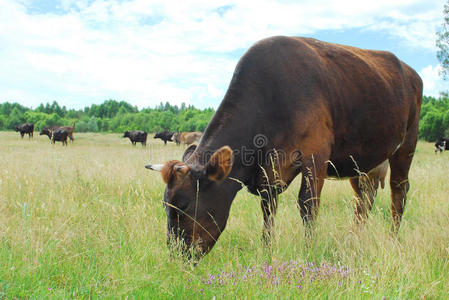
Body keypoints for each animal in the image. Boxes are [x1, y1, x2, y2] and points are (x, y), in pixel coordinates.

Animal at [145, 36, 422, 258]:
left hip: (406, 145)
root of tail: (410, 72)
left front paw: (309, 250)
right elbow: (269, 208)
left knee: (398, 193)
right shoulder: (269, 171)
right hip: (363, 164)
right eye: (165, 206)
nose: (176, 255)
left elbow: (308, 205)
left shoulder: (316, 155)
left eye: (183, 205)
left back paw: (392, 238)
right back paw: (354, 239)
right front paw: (267, 248)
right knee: (363, 200)